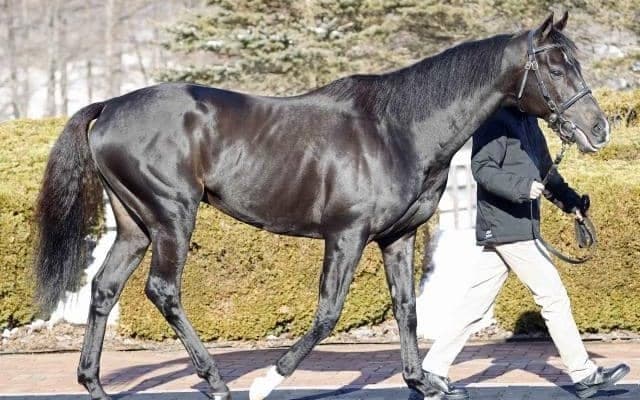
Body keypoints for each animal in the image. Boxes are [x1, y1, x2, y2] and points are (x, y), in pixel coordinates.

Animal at [34, 12, 609, 400]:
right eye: (556, 67)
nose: (599, 128)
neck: (397, 130)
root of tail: (108, 106)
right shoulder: (346, 235)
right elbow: (329, 311)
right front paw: (268, 381)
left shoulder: (396, 238)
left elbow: (407, 309)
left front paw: (422, 381)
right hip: (173, 216)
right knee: (163, 290)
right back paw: (217, 380)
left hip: (136, 223)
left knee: (105, 288)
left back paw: (95, 383)